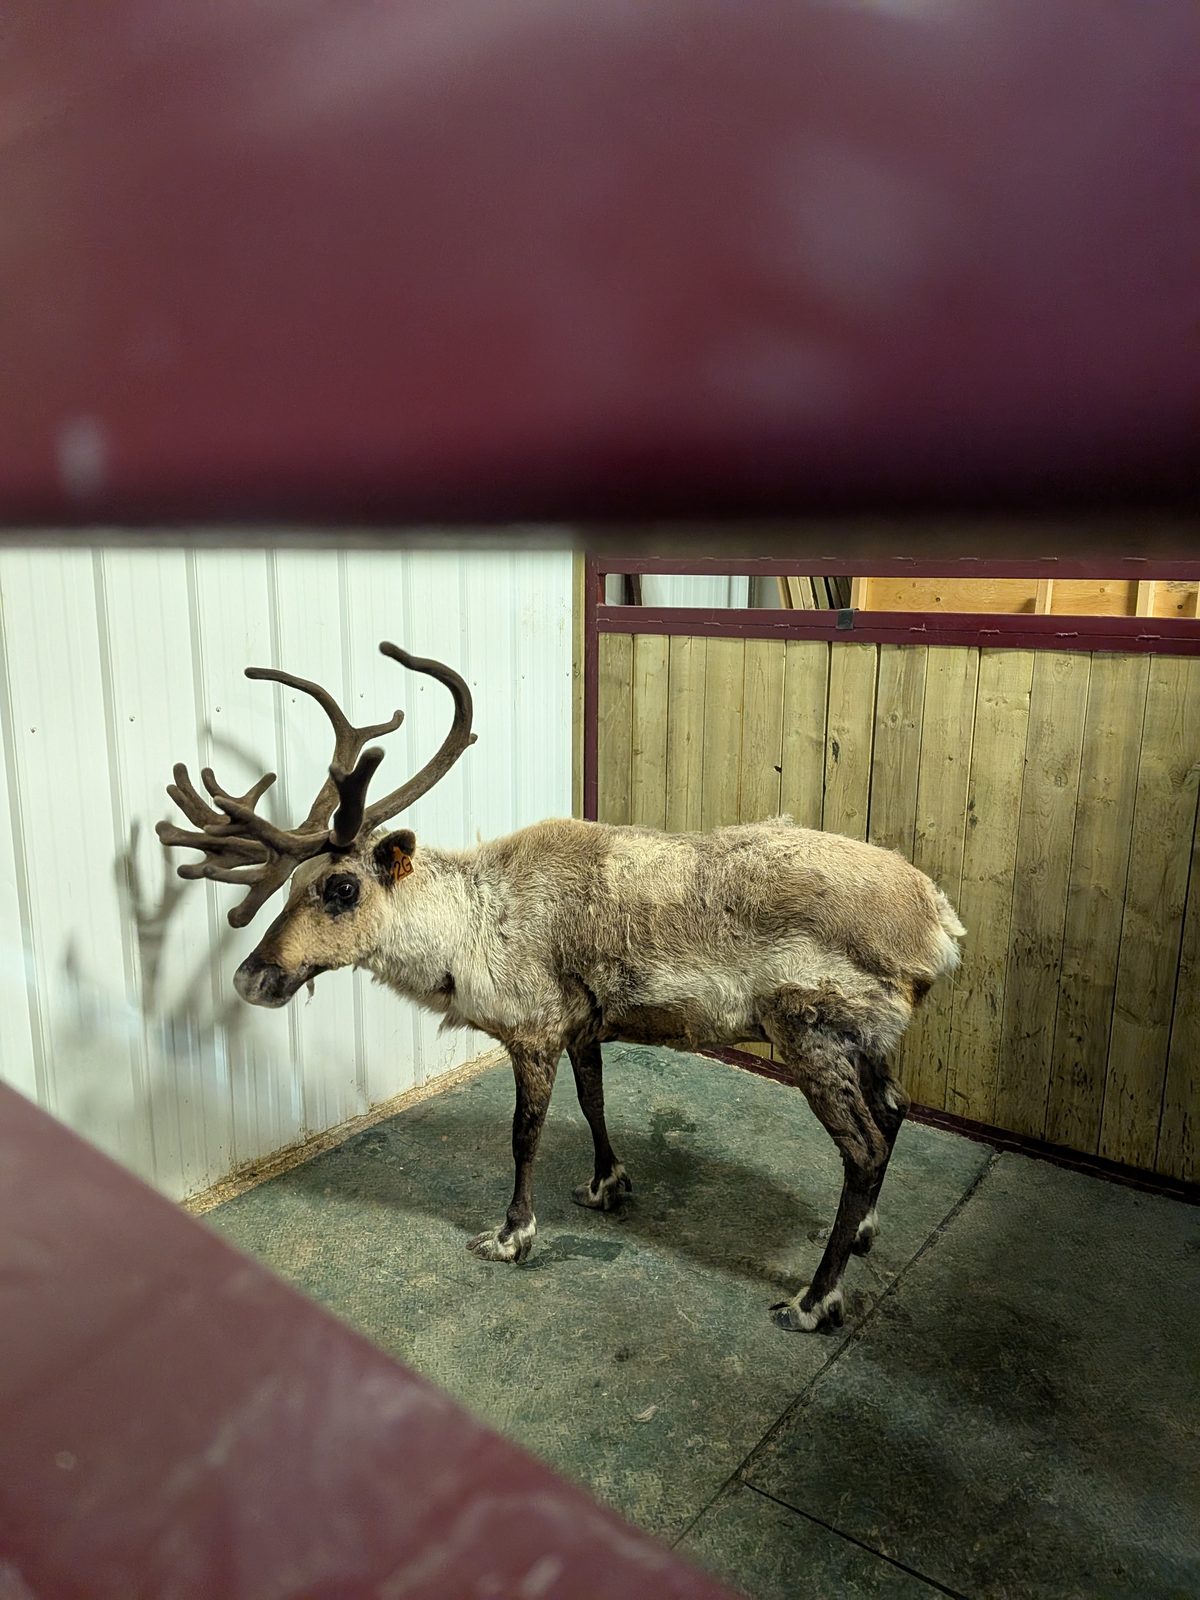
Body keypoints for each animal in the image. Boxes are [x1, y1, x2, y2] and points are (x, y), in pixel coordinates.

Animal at [157, 643, 965, 1333]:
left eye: (342, 887)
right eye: (292, 884)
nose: (252, 974)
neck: (471, 927)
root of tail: (939, 925)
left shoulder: (534, 1028)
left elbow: (526, 1133)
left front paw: (512, 1233)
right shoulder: (584, 1024)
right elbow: (595, 1101)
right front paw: (608, 1183)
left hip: (810, 1031)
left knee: (863, 1146)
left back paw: (813, 1297)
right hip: (868, 1039)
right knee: (894, 1108)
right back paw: (862, 1233)